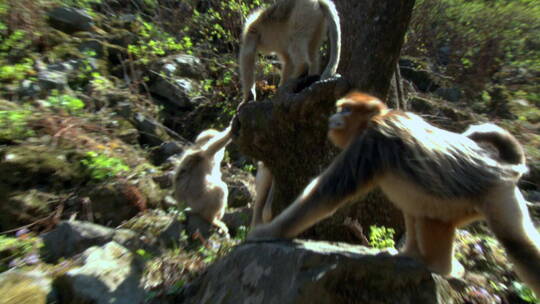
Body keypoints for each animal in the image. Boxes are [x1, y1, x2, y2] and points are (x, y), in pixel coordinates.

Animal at [250, 91, 540, 296]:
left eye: (345, 109)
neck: (381, 117)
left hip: (497, 196)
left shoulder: (370, 140)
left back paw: (437, 266)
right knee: (418, 208)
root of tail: (504, 168)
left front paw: (269, 231)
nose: (333, 117)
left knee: (517, 245)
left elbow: (326, 195)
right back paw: (417, 257)